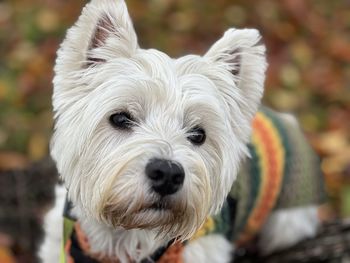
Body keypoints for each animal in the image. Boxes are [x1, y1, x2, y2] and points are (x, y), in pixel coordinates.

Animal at [39, 0, 326, 263]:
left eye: (198, 134)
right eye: (120, 118)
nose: (167, 174)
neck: (127, 236)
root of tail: (289, 121)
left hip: (287, 219)